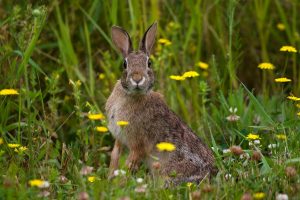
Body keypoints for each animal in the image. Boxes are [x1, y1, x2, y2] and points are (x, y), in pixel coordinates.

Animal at [105, 22, 216, 186]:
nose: (137, 79)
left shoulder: (138, 144)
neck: (130, 95)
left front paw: (120, 184)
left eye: (149, 63)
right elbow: (115, 158)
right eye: (124, 64)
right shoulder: (119, 139)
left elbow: (128, 165)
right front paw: (110, 181)